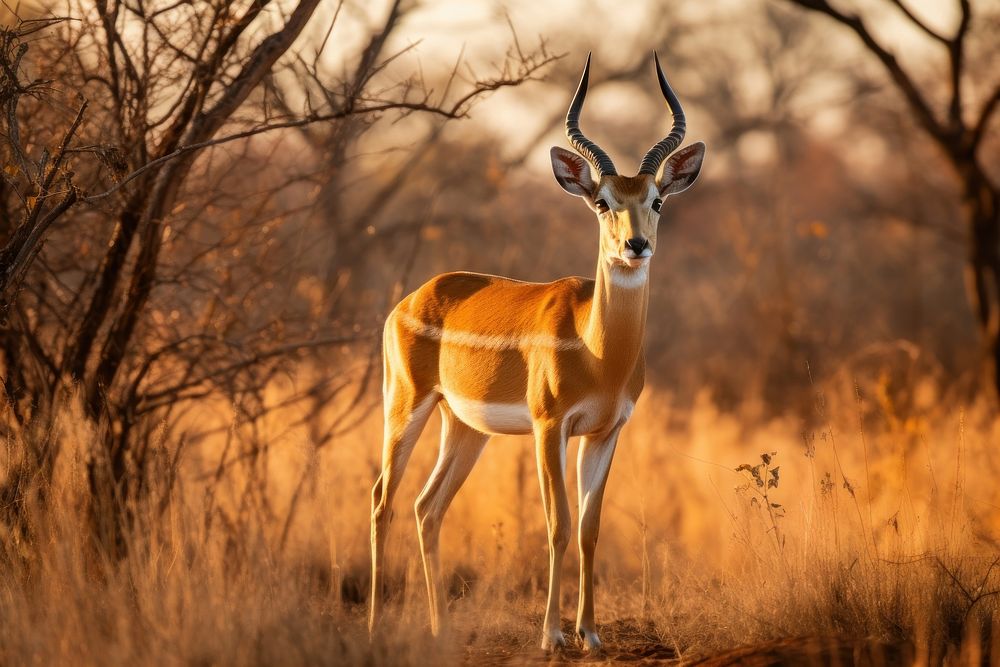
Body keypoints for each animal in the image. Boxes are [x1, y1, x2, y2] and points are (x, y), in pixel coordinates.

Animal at [368, 52, 704, 652]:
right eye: (602, 202)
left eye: (657, 201)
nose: (635, 245)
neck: (599, 353)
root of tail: (412, 297)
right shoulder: (550, 427)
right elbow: (557, 523)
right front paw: (552, 636)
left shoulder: (605, 431)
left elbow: (590, 527)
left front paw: (591, 634)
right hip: (406, 406)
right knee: (384, 498)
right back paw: (375, 628)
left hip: (465, 428)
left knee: (427, 507)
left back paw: (438, 628)